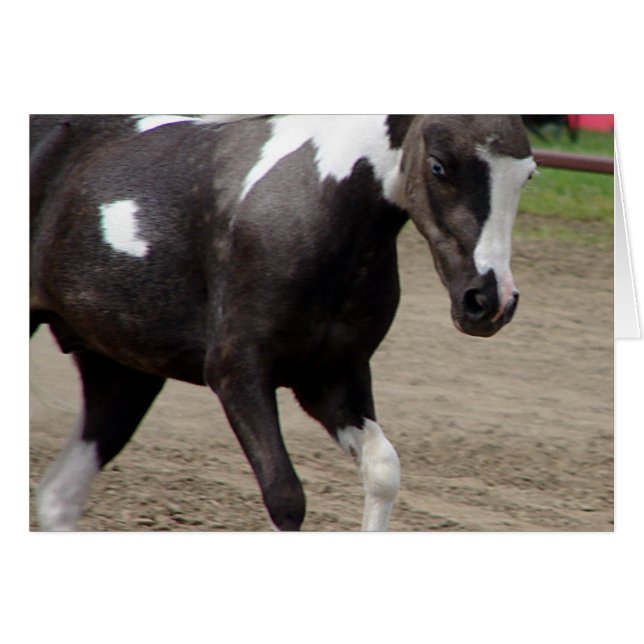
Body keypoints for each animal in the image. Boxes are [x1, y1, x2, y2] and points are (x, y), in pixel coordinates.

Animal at [30, 114, 536, 531]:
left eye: (527, 175)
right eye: (438, 166)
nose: (490, 302)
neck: (318, 206)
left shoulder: (331, 379)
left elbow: (382, 472)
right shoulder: (238, 375)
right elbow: (285, 497)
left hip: (122, 369)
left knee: (59, 496)